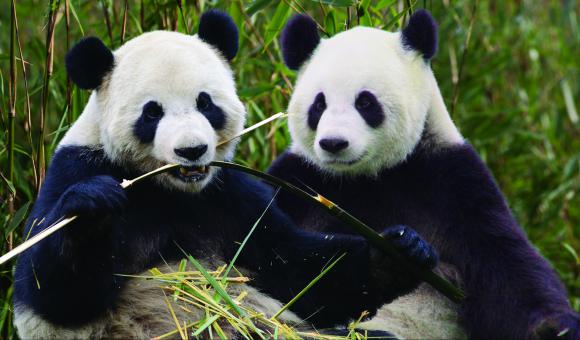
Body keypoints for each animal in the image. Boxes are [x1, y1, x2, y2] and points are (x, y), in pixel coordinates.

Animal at [12, 9, 440, 338]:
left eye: (206, 103)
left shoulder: (230, 196)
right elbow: (54, 296)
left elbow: (302, 272)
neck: (170, 190)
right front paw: (92, 208)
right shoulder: (77, 168)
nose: (191, 151)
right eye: (152, 113)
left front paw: (402, 251)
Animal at [270, 9, 580, 338]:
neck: (367, 176)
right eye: (319, 104)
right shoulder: (298, 181)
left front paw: (555, 327)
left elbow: (505, 267)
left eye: (365, 102)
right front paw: (395, 255)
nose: (333, 143)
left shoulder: (451, 181)